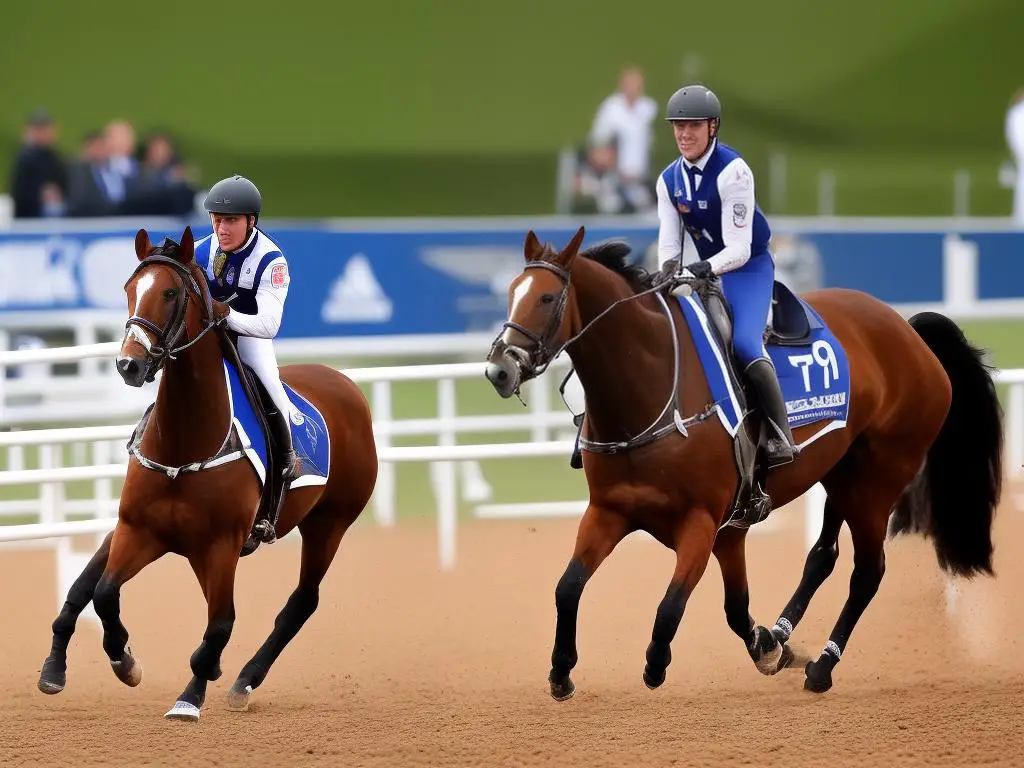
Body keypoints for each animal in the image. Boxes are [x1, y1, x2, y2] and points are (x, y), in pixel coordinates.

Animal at [36, 227, 382, 720]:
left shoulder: (219, 545)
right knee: (92, 586)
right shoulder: (141, 531)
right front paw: (123, 661)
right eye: (129, 289)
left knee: (301, 602)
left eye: (170, 293)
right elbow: (102, 591)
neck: (185, 443)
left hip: (329, 523)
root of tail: (347, 385)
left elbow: (220, 622)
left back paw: (244, 679)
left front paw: (190, 695)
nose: (129, 364)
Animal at [485, 227, 999, 696]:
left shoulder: (703, 524)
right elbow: (569, 587)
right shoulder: (614, 513)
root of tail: (910, 333)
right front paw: (561, 669)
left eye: (547, 297)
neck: (653, 390)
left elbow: (673, 605)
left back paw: (823, 667)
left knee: (868, 574)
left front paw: (658, 662)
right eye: (511, 293)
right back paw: (786, 630)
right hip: (844, 476)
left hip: (879, 482)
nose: (498, 369)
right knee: (823, 556)